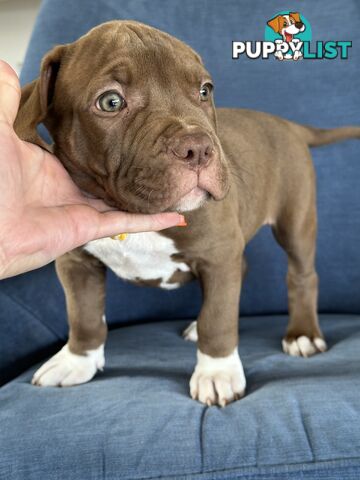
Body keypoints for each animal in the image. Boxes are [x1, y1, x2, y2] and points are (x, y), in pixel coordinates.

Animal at [14, 20, 360, 406]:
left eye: (204, 91)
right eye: (110, 101)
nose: (199, 148)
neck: (133, 212)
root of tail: (286, 123)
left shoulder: (218, 253)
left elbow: (218, 316)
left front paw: (217, 372)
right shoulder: (76, 263)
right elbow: (83, 315)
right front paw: (76, 360)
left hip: (295, 219)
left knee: (301, 275)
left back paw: (302, 334)